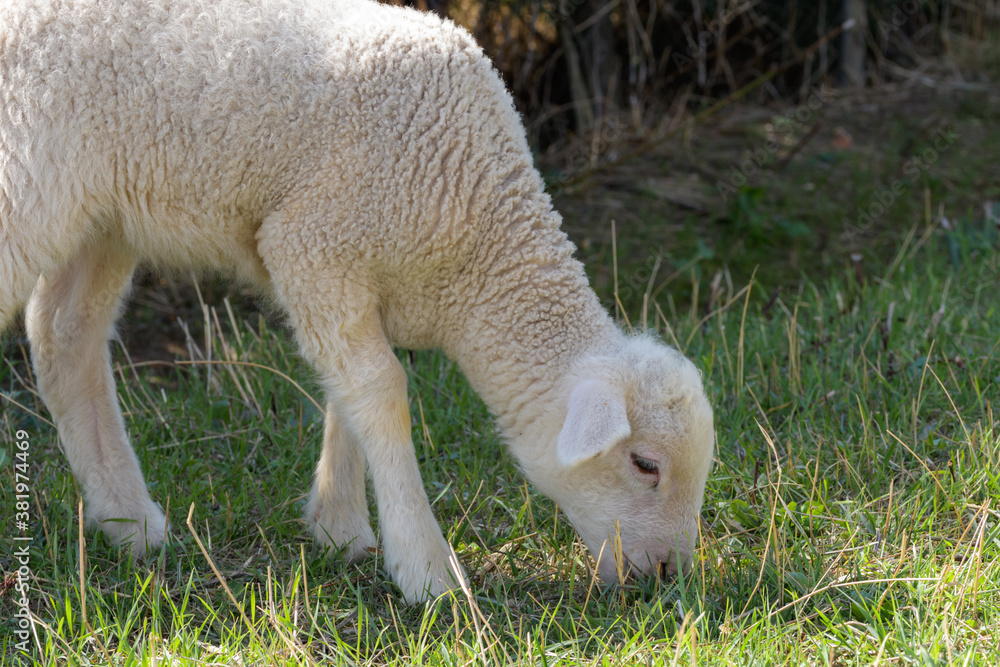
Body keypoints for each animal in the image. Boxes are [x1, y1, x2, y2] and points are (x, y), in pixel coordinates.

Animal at [0, 0, 715, 603]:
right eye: (645, 464)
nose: (666, 575)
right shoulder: (311, 244)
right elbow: (382, 391)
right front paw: (427, 570)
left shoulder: (349, 278)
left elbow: (351, 394)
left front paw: (339, 528)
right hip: (27, 181)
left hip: (104, 215)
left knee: (63, 333)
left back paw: (128, 521)